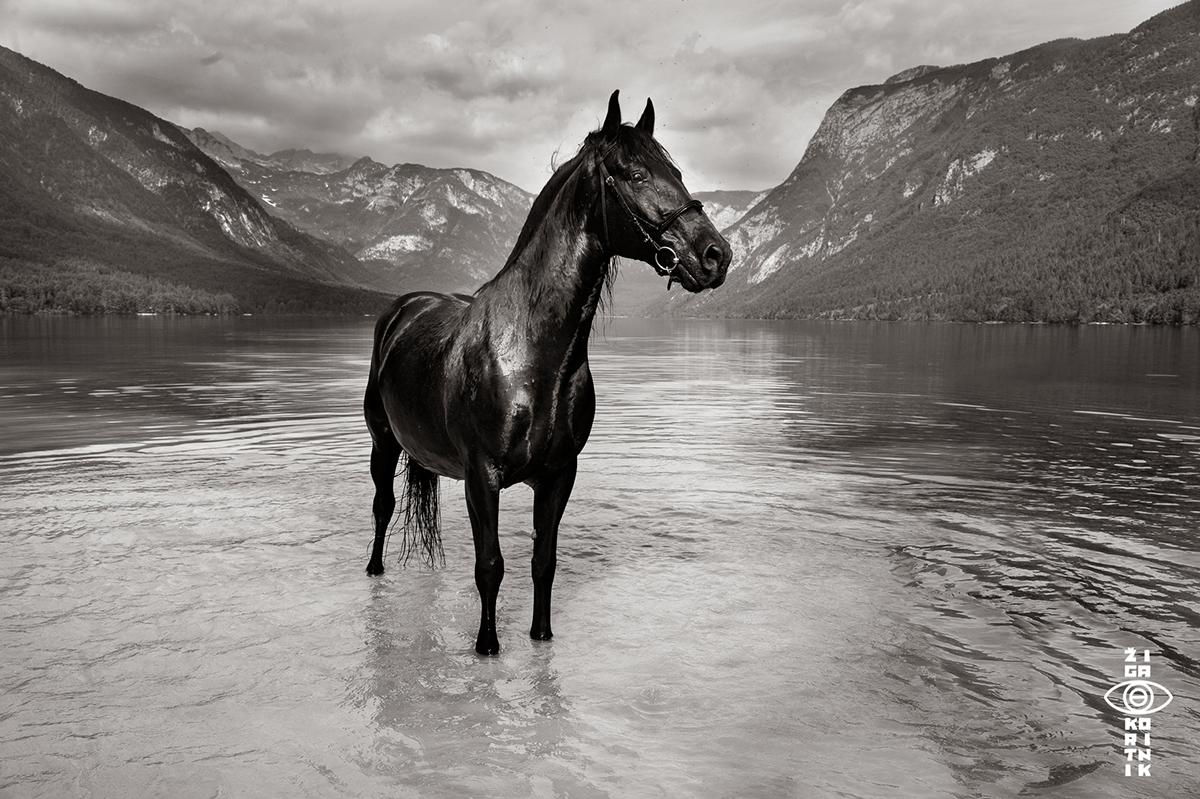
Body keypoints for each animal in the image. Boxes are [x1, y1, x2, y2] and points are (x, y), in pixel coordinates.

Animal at [360, 91, 729, 652]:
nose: (716, 255)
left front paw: (541, 636)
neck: (532, 358)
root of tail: (406, 307)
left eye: (679, 173)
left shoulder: (559, 475)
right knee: (382, 506)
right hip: (382, 441)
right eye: (635, 174)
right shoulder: (482, 477)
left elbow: (543, 562)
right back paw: (375, 570)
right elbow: (490, 566)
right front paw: (487, 646)